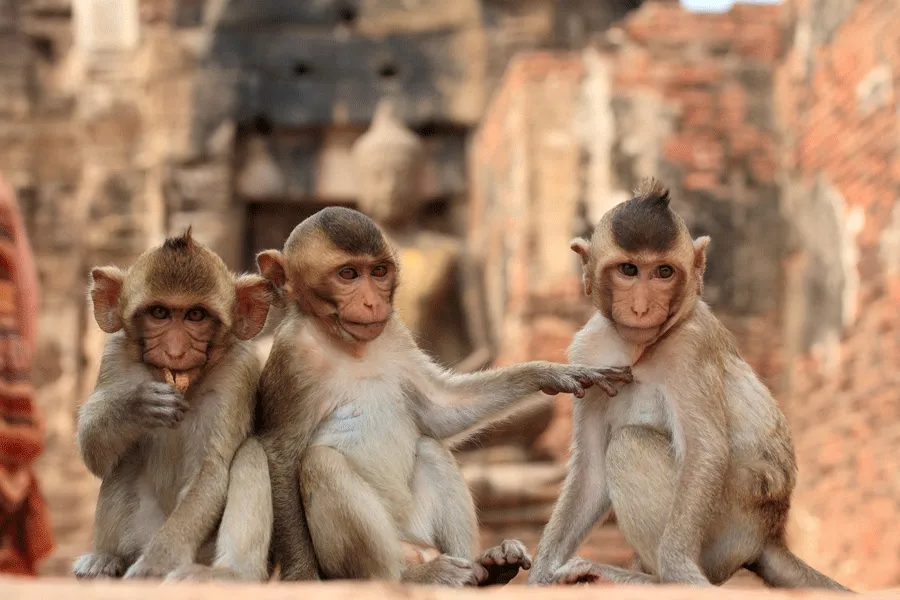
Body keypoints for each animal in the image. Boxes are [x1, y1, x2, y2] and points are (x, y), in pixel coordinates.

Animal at [72, 228, 275, 582]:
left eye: (196, 315)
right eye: (159, 313)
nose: (176, 351)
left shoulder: (237, 372)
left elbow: (212, 469)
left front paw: (156, 563)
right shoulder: (115, 355)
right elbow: (94, 455)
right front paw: (136, 407)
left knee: (249, 453)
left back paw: (230, 573)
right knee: (124, 461)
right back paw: (107, 558)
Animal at [253, 206, 633, 586]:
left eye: (378, 271)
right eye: (347, 274)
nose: (372, 302)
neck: (349, 347)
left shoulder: (394, 333)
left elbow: (439, 412)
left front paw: (550, 373)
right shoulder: (293, 357)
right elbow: (280, 455)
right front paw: (301, 575)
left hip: (418, 530)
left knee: (429, 447)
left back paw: (486, 568)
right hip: (368, 555)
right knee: (322, 463)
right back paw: (412, 578)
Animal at [527, 179, 852, 592]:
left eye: (664, 272)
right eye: (629, 269)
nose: (641, 308)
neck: (640, 348)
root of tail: (770, 534)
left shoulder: (690, 346)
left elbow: (704, 451)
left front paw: (678, 569)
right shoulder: (588, 352)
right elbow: (591, 473)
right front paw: (538, 574)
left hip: (724, 533)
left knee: (631, 443)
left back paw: (651, 579)